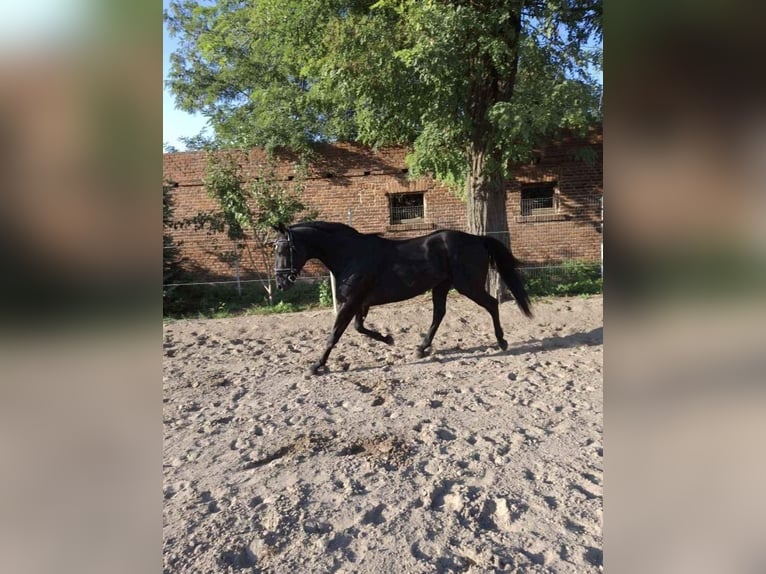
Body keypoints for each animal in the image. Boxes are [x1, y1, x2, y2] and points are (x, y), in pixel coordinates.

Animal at [276, 219, 536, 374]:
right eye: (275, 248)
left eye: (285, 249)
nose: (280, 282)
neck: (350, 255)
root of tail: (477, 239)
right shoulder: (360, 303)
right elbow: (359, 328)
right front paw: (388, 339)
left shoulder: (351, 303)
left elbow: (334, 335)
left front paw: (316, 365)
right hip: (441, 286)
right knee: (439, 314)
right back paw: (422, 348)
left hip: (468, 286)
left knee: (491, 304)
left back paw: (501, 342)